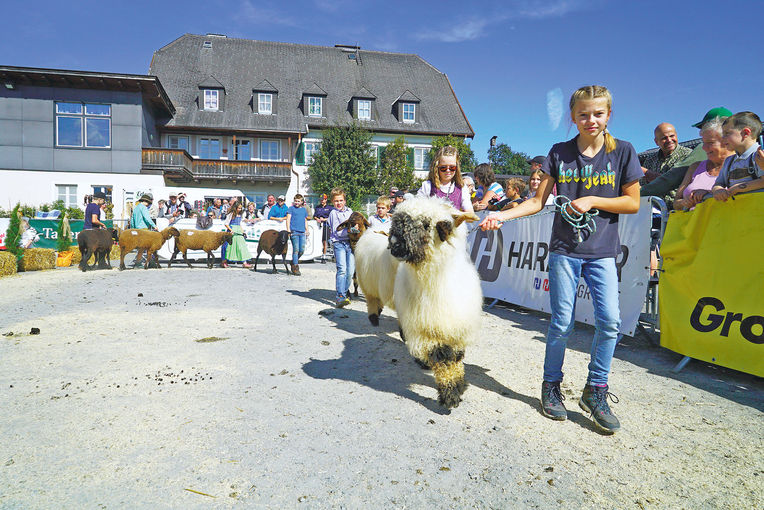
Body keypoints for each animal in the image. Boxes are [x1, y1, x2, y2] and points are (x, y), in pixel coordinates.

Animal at [390, 197, 480, 408]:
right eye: (396, 222)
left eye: (425, 224)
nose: (394, 244)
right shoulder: (427, 331)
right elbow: (442, 359)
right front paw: (450, 395)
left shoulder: (456, 329)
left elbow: (455, 359)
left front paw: (459, 384)